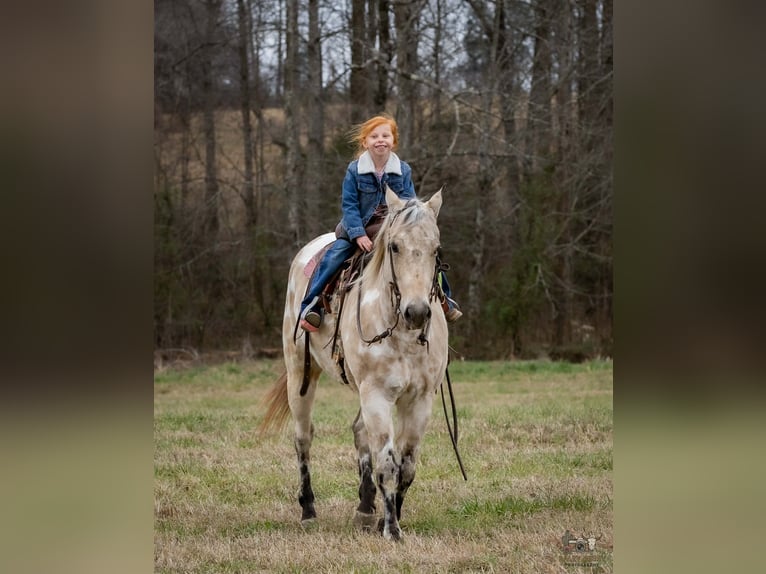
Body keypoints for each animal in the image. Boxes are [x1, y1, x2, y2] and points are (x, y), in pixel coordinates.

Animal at [261, 187, 449, 541]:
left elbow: (406, 465)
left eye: (435, 248)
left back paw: (364, 507)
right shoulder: (376, 394)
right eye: (394, 246)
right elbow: (387, 463)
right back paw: (308, 510)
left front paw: (385, 518)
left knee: (360, 434)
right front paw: (391, 529)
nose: (417, 312)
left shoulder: (419, 399)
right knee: (303, 438)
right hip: (300, 375)